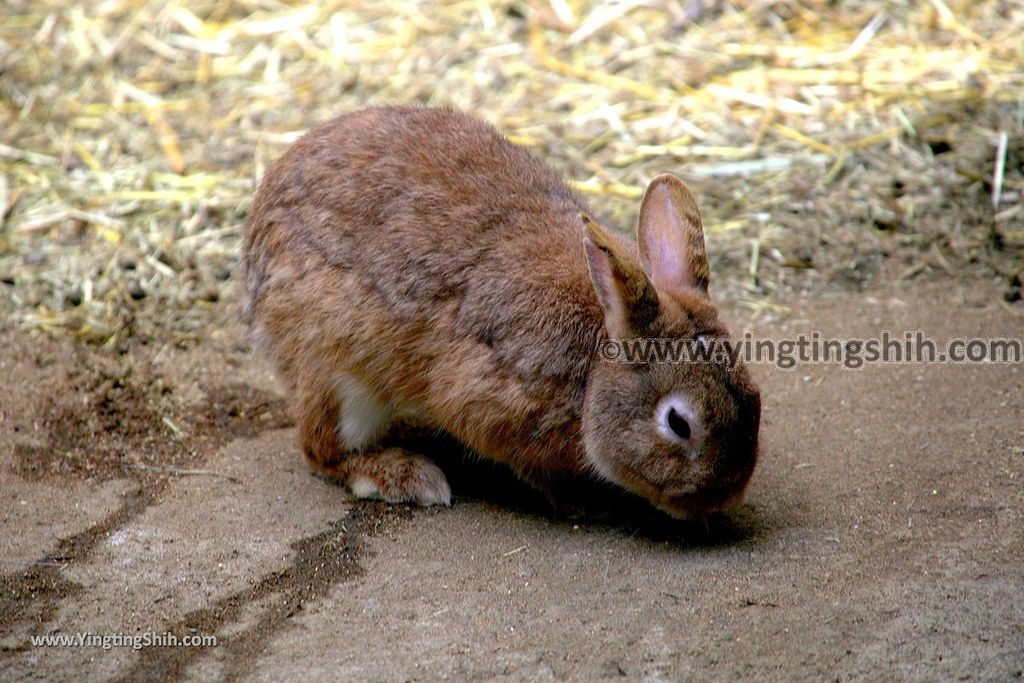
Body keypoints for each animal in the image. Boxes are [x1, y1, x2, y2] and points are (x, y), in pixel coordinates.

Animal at [241, 108, 761, 518]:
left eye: (755, 396)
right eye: (679, 424)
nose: (724, 499)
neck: (596, 359)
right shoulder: (491, 404)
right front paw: (588, 504)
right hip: (339, 374)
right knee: (321, 450)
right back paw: (407, 477)